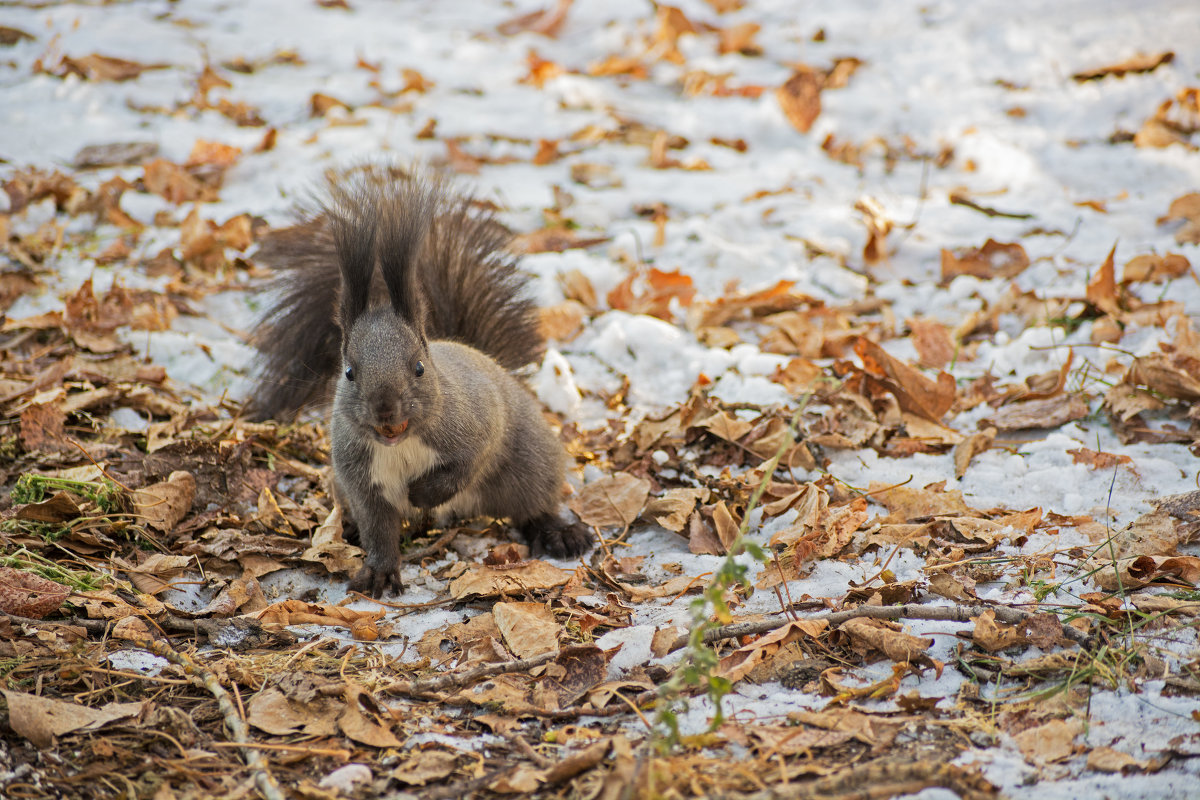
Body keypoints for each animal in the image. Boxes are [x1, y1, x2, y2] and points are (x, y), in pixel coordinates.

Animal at [249, 165, 595, 594]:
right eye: (348, 372)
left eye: (418, 368)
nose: (385, 410)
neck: (403, 444)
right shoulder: (360, 480)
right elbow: (379, 531)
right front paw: (380, 572)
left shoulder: (478, 425)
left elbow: (465, 466)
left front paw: (421, 493)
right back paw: (350, 530)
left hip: (530, 465)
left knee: (532, 507)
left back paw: (559, 533)